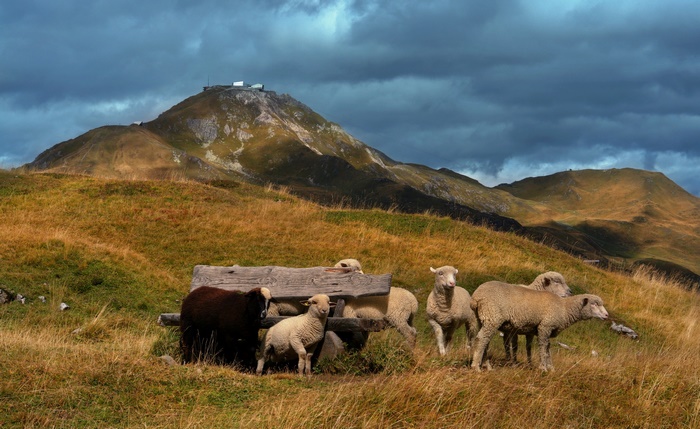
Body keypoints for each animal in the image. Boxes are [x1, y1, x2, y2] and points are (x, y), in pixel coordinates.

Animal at [470, 283, 609, 372]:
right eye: (594, 304)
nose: (607, 315)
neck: (564, 309)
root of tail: (476, 297)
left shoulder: (546, 329)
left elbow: (547, 348)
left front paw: (551, 367)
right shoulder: (545, 327)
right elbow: (543, 347)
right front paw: (543, 368)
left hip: (483, 318)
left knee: (485, 341)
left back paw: (486, 365)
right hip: (492, 316)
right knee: (481, 339)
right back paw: (476, 367)